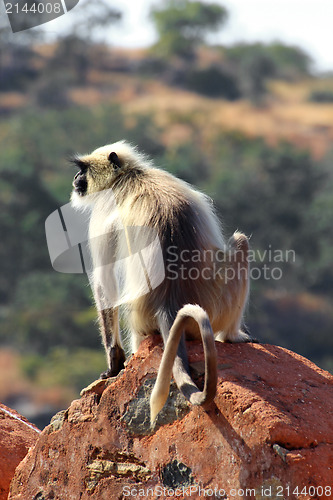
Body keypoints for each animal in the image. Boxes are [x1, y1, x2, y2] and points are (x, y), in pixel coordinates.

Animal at [71, 140, 250, 422]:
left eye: (83, 169)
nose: (76, 178)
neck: (130, 176)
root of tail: (169, 301)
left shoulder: (103, 209)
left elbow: (104, 279)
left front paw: (113, 363)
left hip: (144, 321)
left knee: (240, 240)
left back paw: (231, 337)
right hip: (216, 304)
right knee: (241, 242)